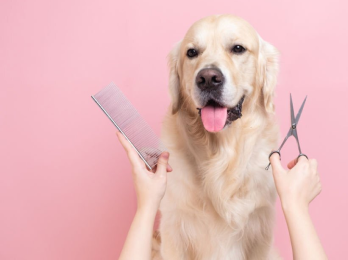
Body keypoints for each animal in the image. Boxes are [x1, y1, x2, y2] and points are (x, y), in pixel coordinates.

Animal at [154, 14, 280, 260]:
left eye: (238, 48)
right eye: (192, 52)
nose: (208, 78)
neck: (221, 156)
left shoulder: (260, 230)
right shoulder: (173, 227)